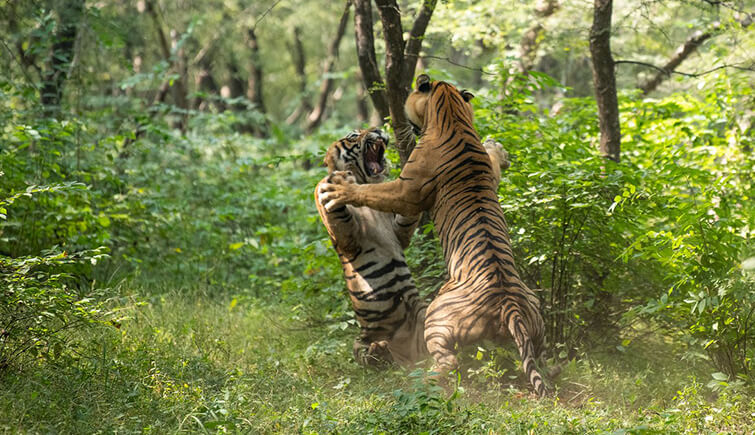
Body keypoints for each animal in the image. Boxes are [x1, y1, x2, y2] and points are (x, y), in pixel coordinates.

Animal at [320, 76, 548, 398]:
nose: (378, 129)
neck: (453, 113)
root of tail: (509, 304)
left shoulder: (405, 189)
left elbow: (371, 192)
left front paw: (340, 189)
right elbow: (493, 160)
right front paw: (497, 148)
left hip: (436, 316)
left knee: (450, 362)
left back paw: (423, 380)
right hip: (535, 319)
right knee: (536, 355)